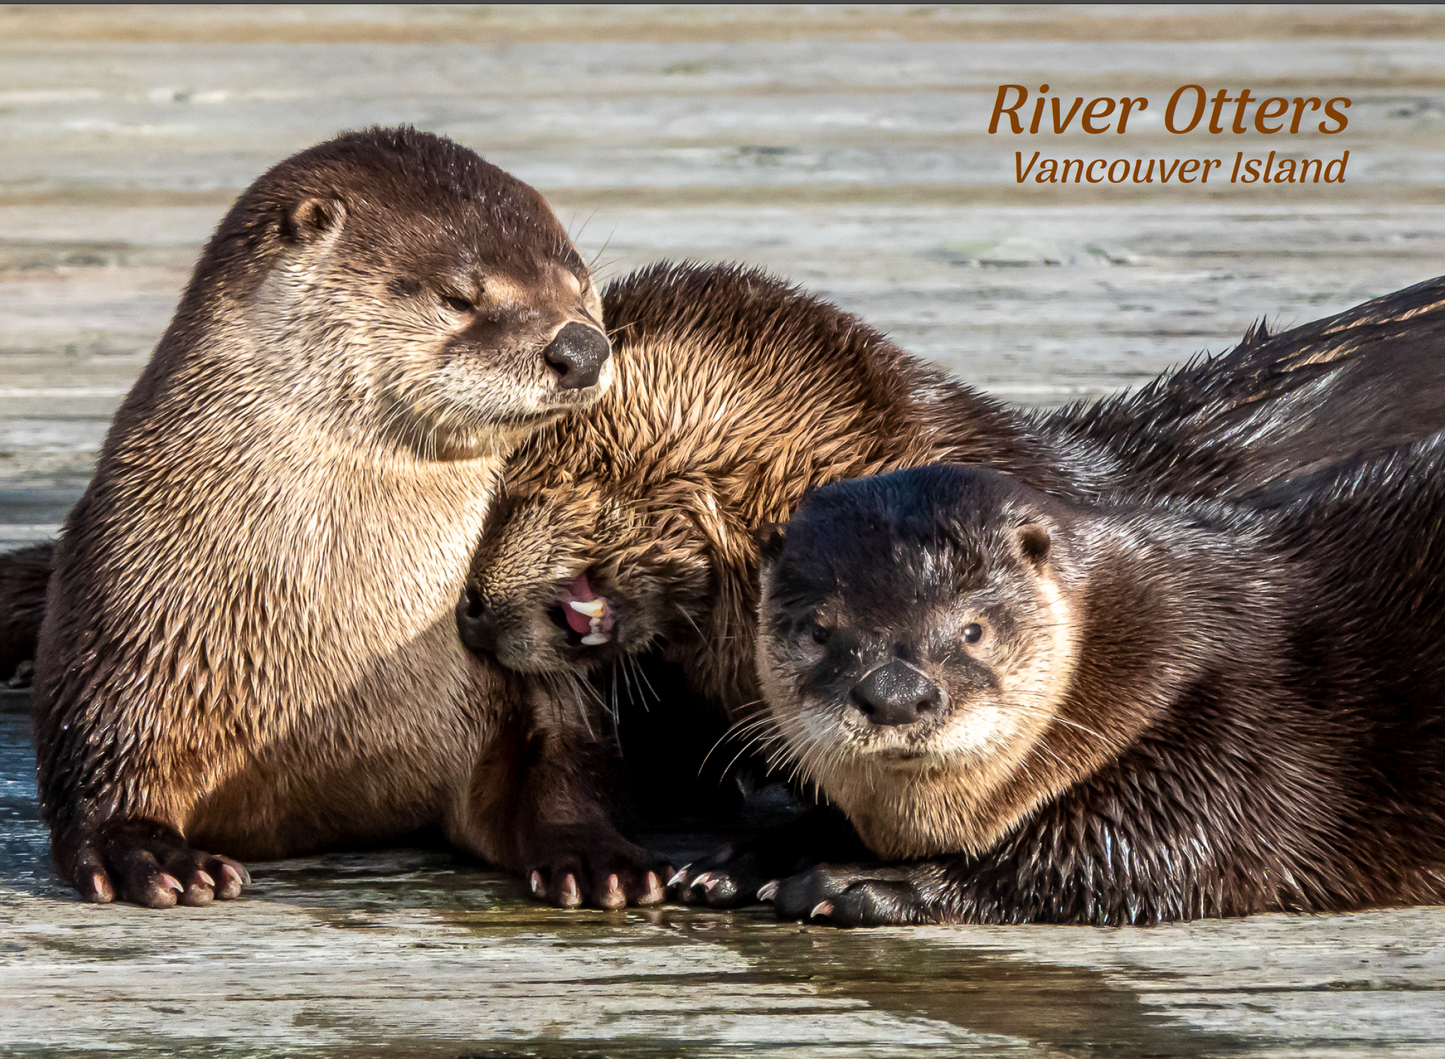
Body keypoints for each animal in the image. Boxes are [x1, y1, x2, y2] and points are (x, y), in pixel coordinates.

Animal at [25, 127, 664, 907]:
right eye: (459, 297)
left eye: (583, 289)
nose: (581, 348)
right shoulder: (127, 613)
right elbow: (100, 751)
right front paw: (148, 853)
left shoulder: (532, 673)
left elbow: (568, 754)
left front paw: (597, 856)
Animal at [751, 456, 1445, 924]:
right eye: (819, 630)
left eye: (973, 629)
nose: (894, 693)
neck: (1147, 640)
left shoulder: (1242, 731)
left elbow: (1135, 858)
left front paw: (864, 886)